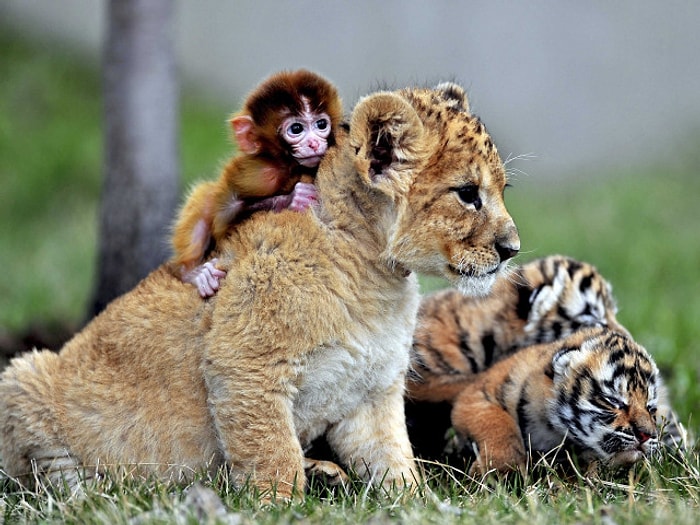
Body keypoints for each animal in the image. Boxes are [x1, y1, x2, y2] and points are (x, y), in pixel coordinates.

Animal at [171, 69, 344, 294]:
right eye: (296, 128)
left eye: (321, 124)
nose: (314, 143)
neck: (290, 166)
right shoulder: (260, 175)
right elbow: (224, 216)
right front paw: (294, 198)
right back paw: (191, 272)